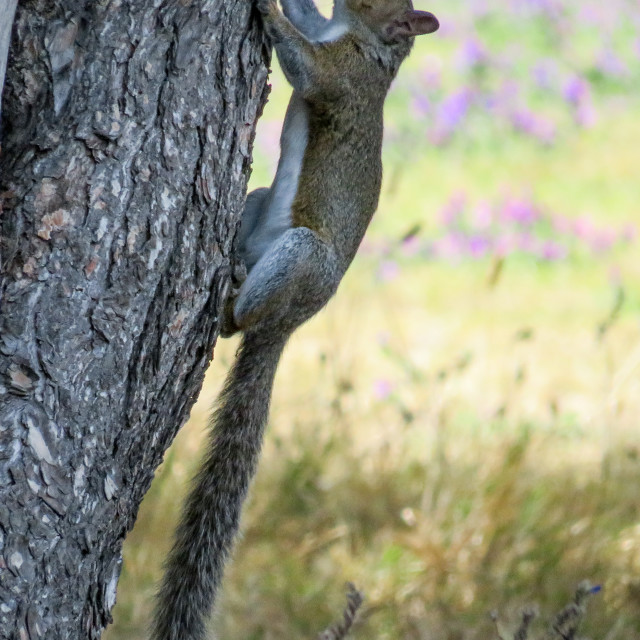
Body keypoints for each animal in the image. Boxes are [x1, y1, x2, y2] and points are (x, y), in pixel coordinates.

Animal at [152, 1, 438, 640]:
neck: (364, 43)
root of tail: (291, 321)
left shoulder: (341, 76)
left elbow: (306, 68)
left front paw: (267, 11)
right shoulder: (328, 34)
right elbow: (309, 21)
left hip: (301, 256)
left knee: (241, 323)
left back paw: (231, 299)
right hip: (260, 205)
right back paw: (233, 265)